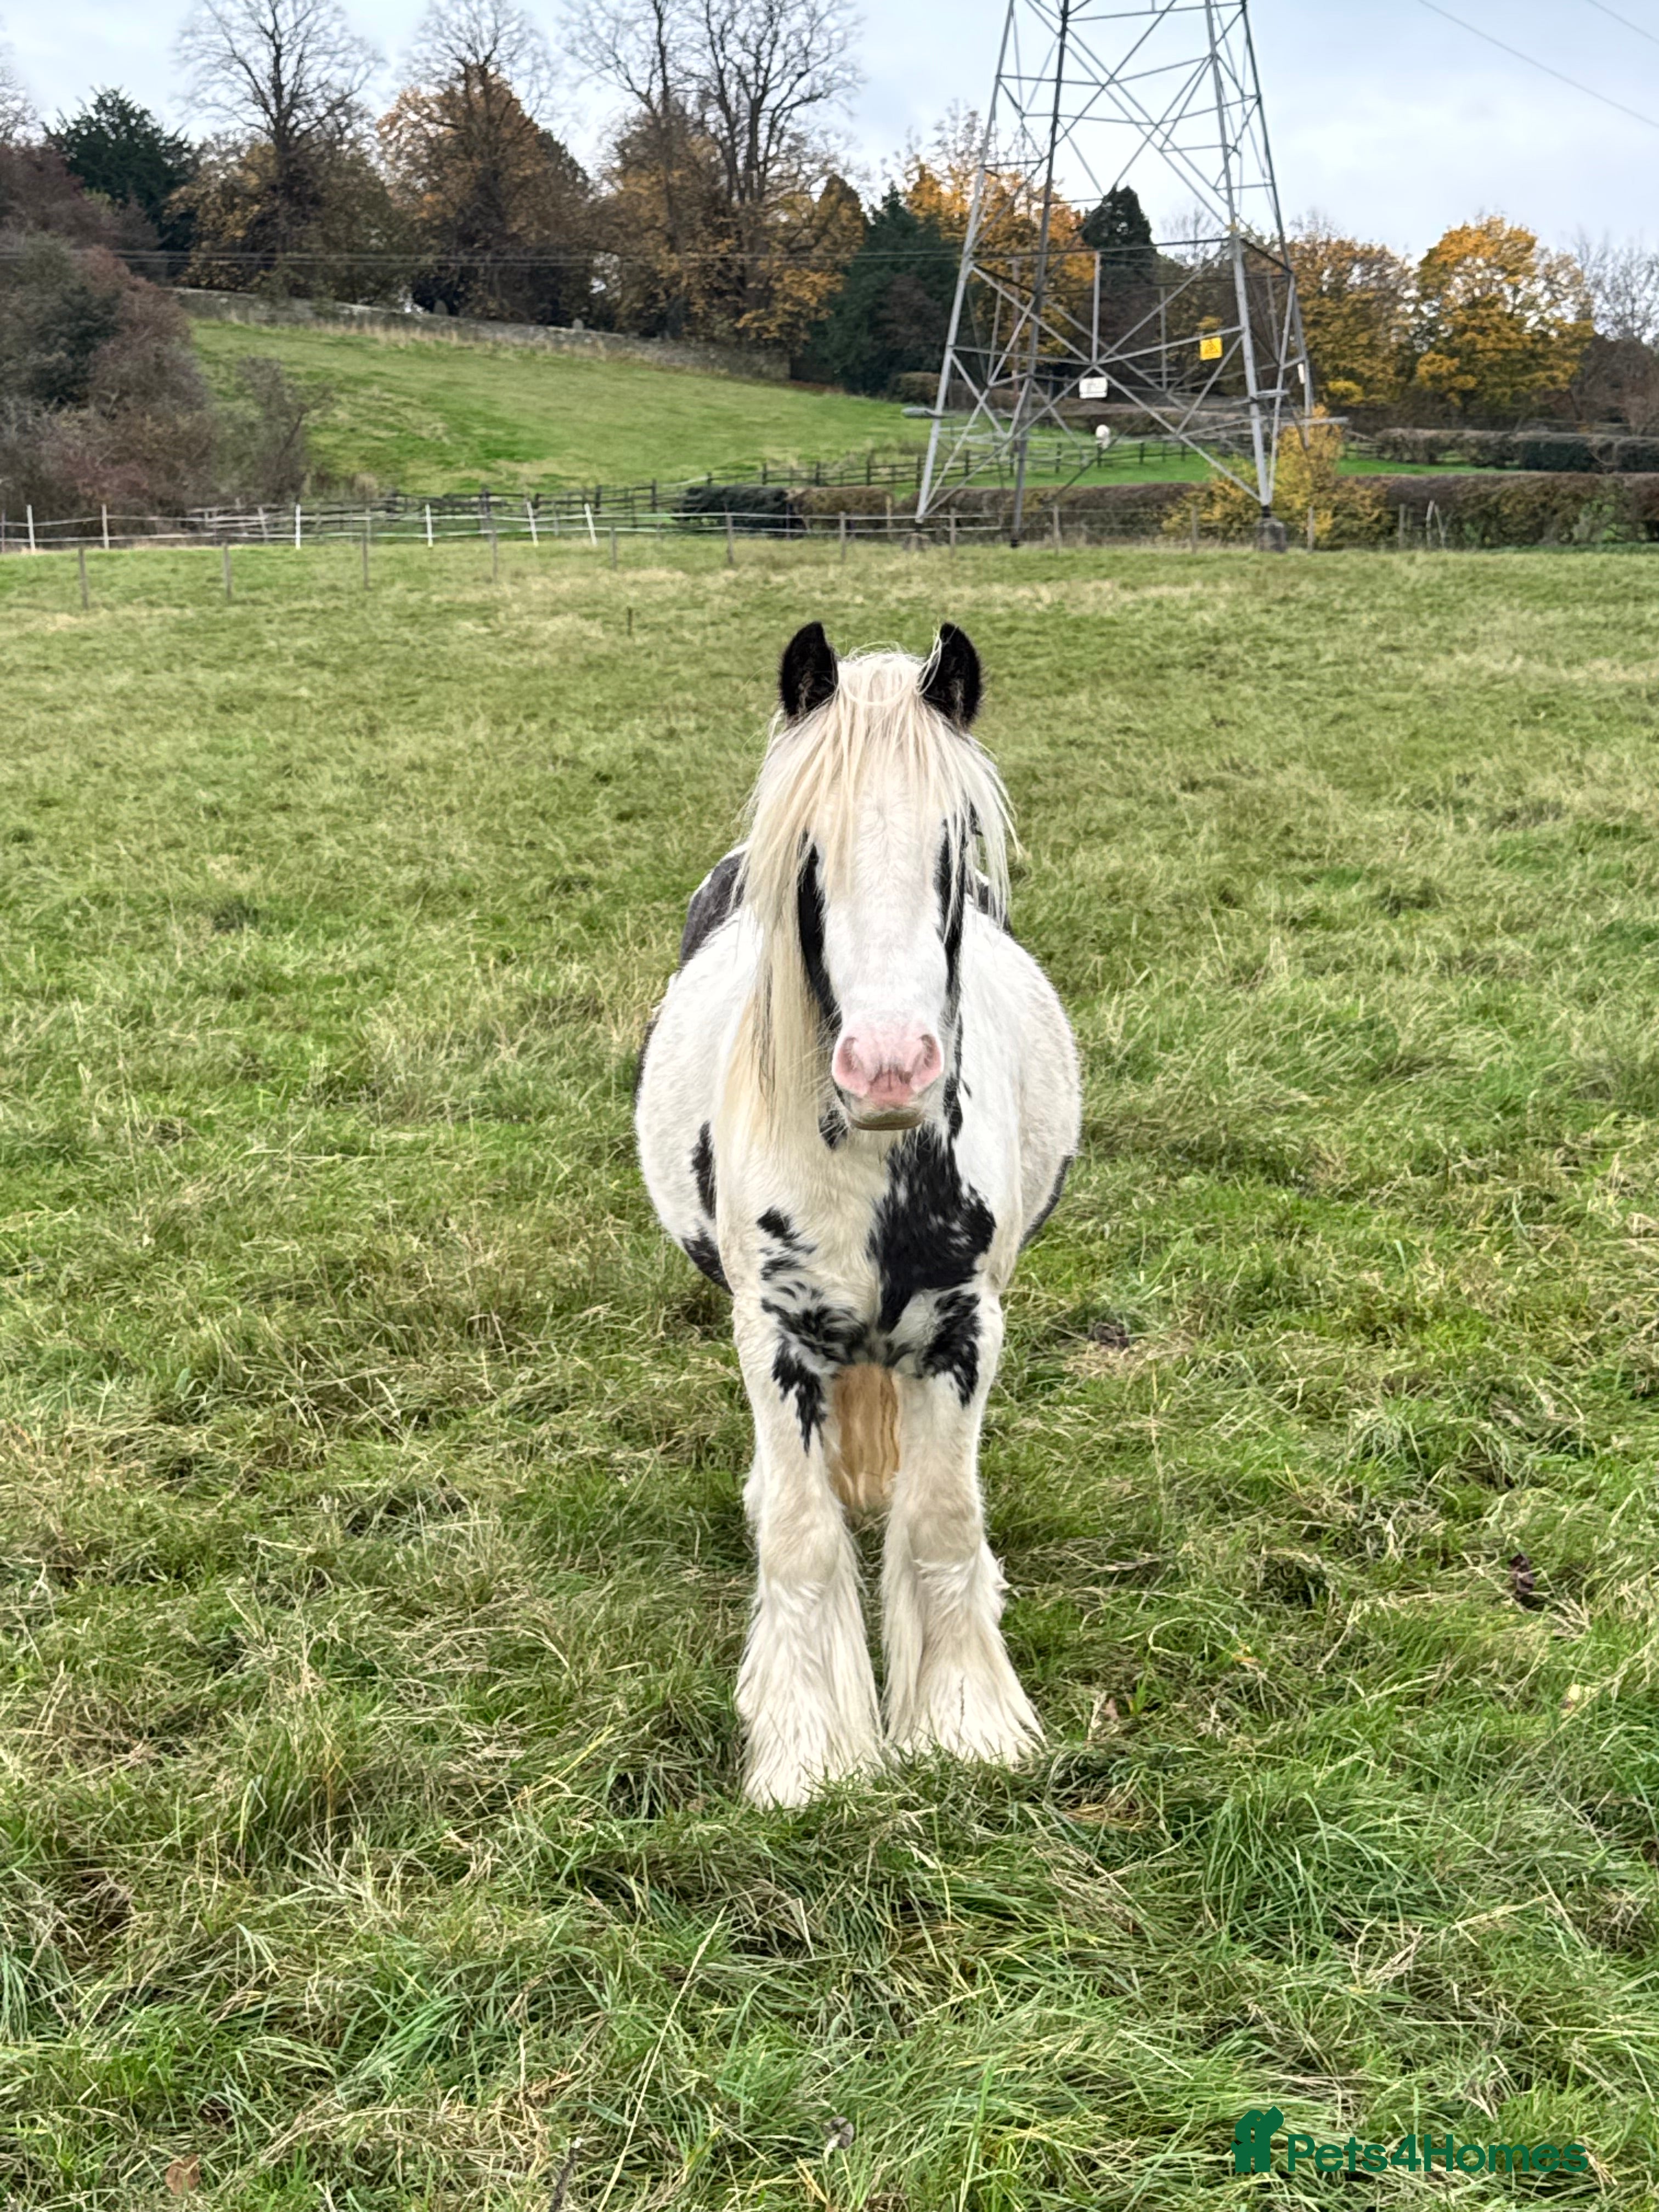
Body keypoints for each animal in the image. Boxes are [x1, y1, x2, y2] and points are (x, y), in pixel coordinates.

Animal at [635, 621, 1080, 1806]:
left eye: (951, 849)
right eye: (809, 853)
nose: (889, 1068)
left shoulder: (964, 1336)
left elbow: (940, 1517)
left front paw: (964, 1721)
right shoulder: (776, 1336)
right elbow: (801, 1534)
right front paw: (808, 1750)